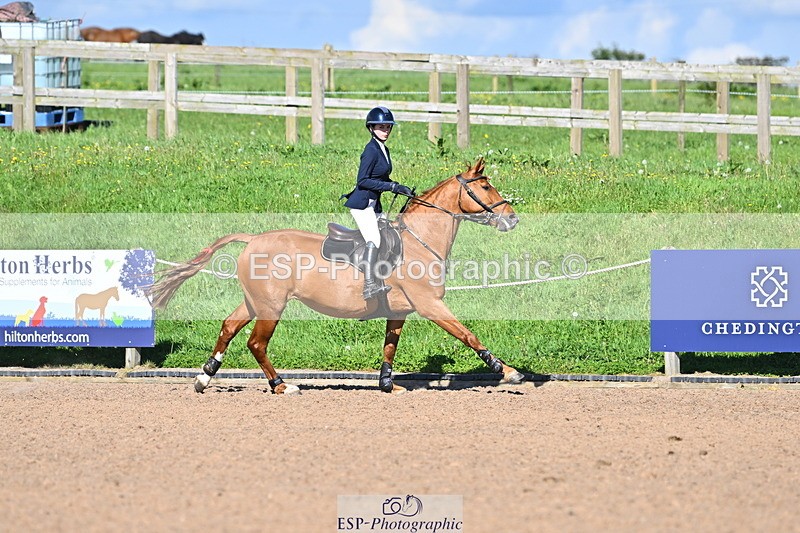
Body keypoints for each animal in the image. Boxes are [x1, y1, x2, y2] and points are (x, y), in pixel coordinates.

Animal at [147, 157, 523, 395]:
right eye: (485, 187)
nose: (512, 218)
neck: (420, 241)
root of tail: (253, 239)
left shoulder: (399, 311)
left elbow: (390, 347)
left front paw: (388, 384)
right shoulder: (430, 304)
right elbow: (468, 335)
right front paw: (508, 371)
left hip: (255, 302)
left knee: (228, 327)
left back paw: (203, 378)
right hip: (271, 306)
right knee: (256, 343)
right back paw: (281, 385)